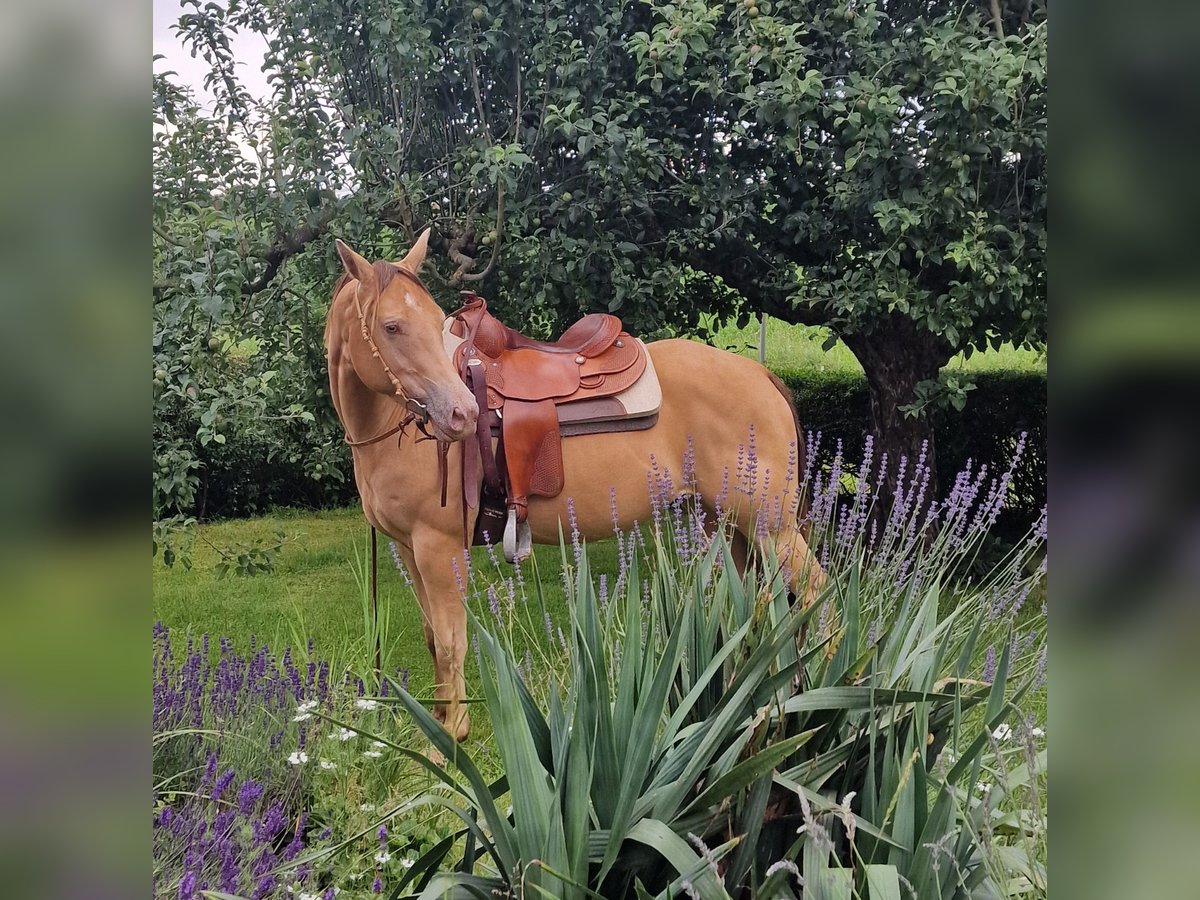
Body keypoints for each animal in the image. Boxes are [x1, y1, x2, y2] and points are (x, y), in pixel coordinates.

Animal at [326, 230, 825, 739]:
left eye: (431, 320)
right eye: (391, 326)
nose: (461, 414)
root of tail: (760, 374)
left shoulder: (438, 549)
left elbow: (451, 645)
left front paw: (451, 739)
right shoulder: (410, 549)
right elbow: (433, 641)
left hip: (772, 527)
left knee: (815, 593)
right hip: (723, 525)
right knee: (750, 603)